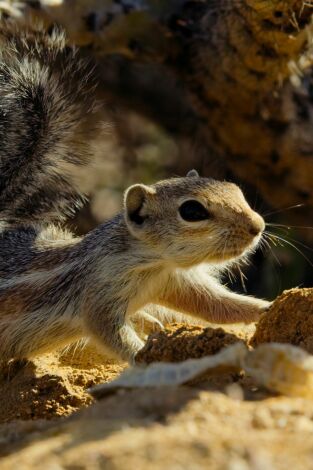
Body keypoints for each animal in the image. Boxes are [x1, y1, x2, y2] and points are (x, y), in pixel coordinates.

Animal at [0, 24, 270, 364]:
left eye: (236, 190)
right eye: (192, 211)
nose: (257, 227)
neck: (154, 264)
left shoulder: (175, 281)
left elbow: (221, 308)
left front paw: (273, 307)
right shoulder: (98, 292)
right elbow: (109, 333)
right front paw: (144, 356)